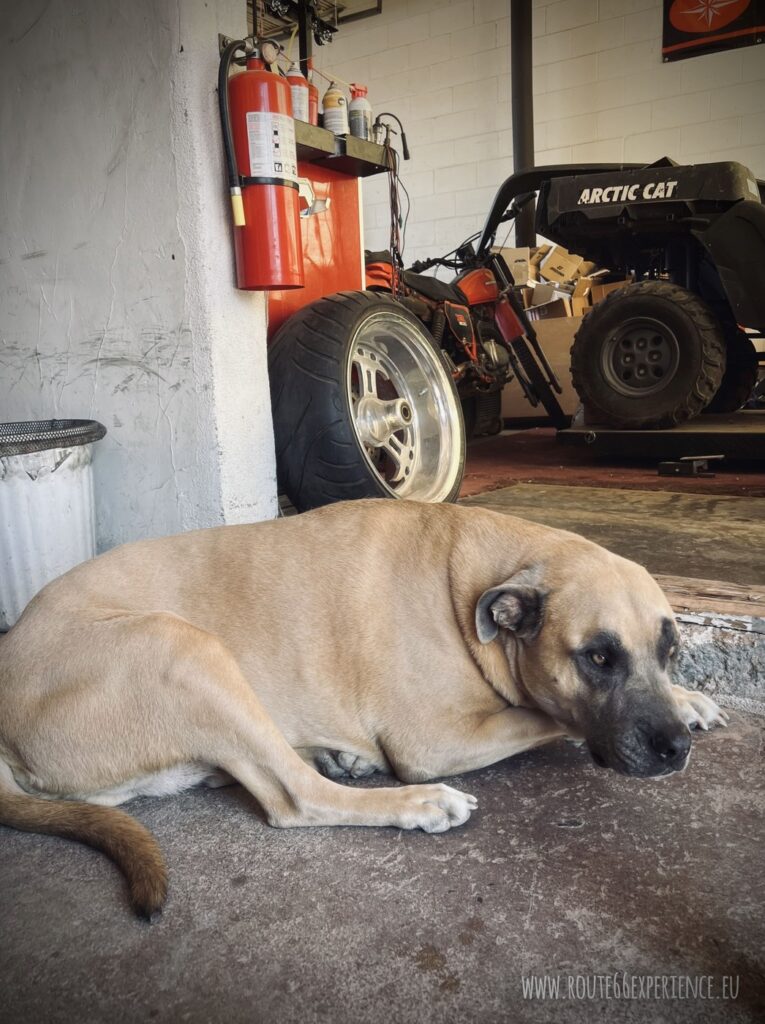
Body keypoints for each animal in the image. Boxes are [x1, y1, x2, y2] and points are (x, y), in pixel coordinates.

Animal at [0, 499, 729, 917]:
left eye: (669, 649)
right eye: (598, 658)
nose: (674, 750)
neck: (469, 581)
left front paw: (689, 697)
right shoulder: (431, 740)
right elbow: (548, 716)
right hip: (184, 648)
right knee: (294, 798)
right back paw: (411, 803)